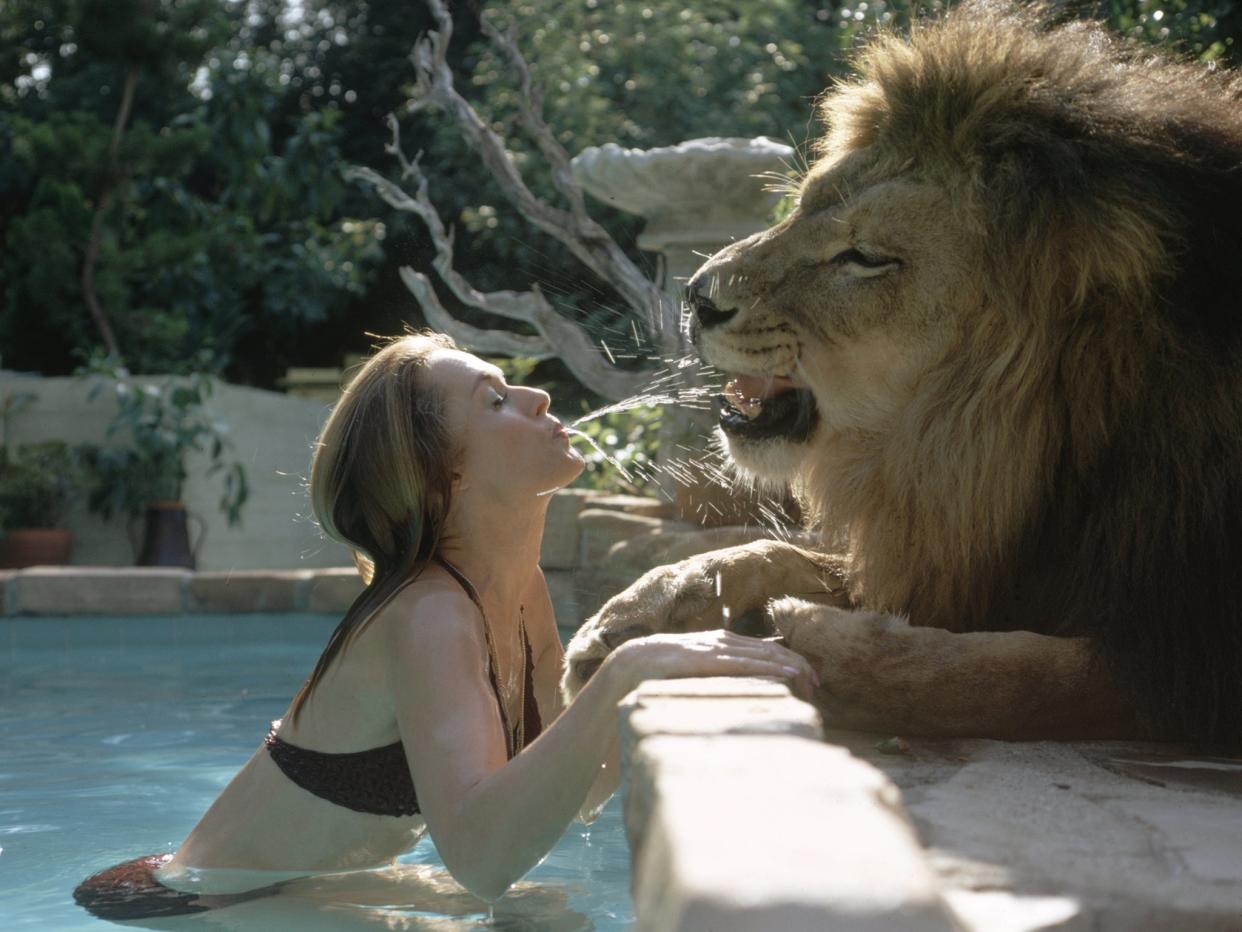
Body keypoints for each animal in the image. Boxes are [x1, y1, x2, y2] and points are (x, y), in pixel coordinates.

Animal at [563, 0, 1242, 750]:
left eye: (864, 257)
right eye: (805, 205)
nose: (697, 297)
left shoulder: (1186, 653)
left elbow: (1008, 677)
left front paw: (798, 632)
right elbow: (769, 549)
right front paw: (640, 611)